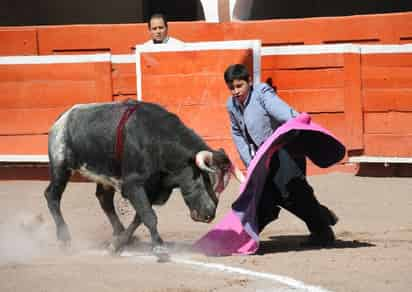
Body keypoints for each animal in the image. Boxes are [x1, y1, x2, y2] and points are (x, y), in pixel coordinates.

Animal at [44, 100, 245, 256]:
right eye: (202, 178)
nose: (209, 214)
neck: (157, 141)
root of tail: (61, 119)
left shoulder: (154, 188)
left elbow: (140, 216)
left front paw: (117, 244)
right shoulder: (133, 185)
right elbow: (149, 215)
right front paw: (159, 248)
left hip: (104, 176)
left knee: (104, 199)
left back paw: (120, 234)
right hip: (61, 166)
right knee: (52, 195)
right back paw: (64, 240)